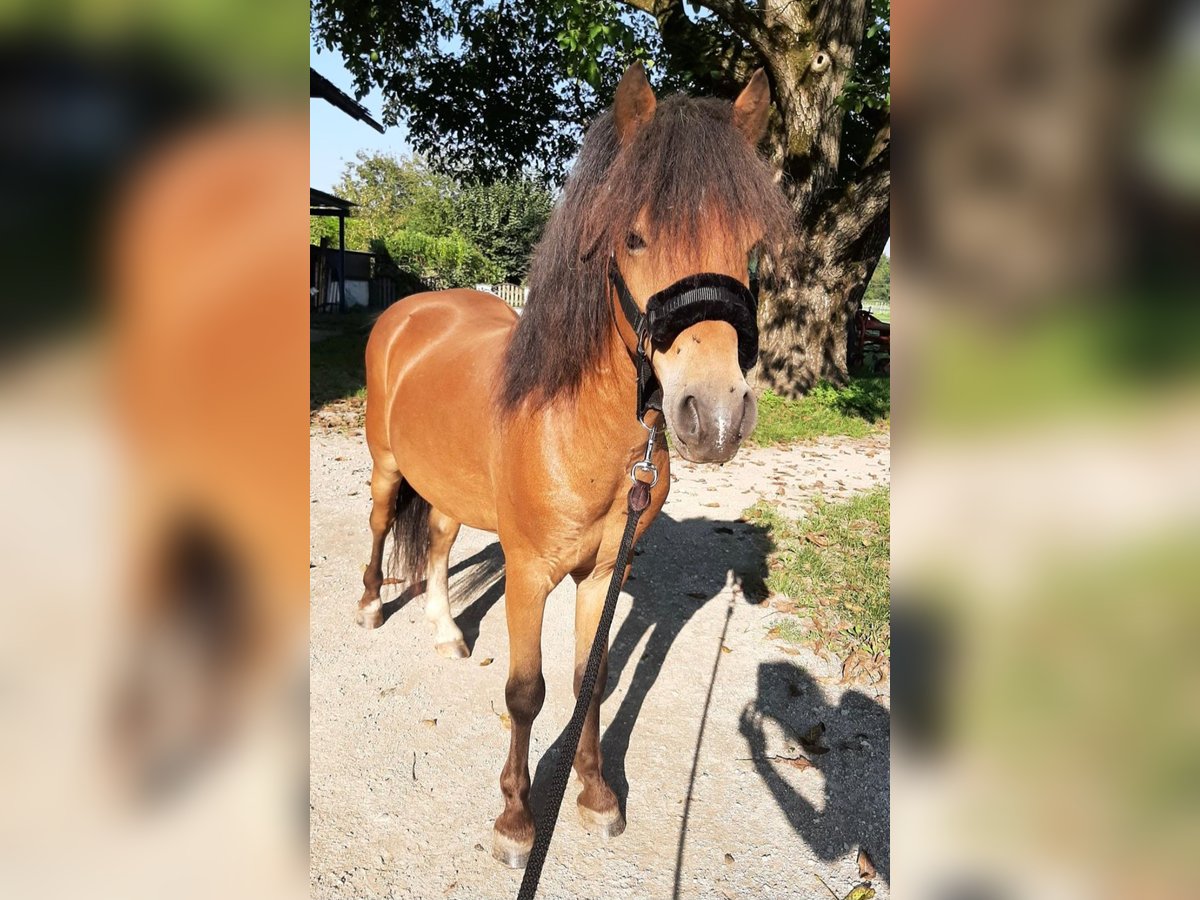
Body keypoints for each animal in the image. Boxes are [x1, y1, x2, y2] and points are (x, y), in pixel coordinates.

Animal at [355, 63, 787, 868]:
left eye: (749, 243)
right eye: (635, 236)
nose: (714, 414)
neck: (578, 432)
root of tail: (414, 309)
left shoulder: (603, 571)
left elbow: (594, 677)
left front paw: (594, 793)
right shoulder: (530, 574)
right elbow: (528, 692)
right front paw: (517, 822)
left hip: (448, 485)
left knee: (438, 542)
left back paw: (445, 630)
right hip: (386, 464)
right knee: (379, 523)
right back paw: (370, 604)